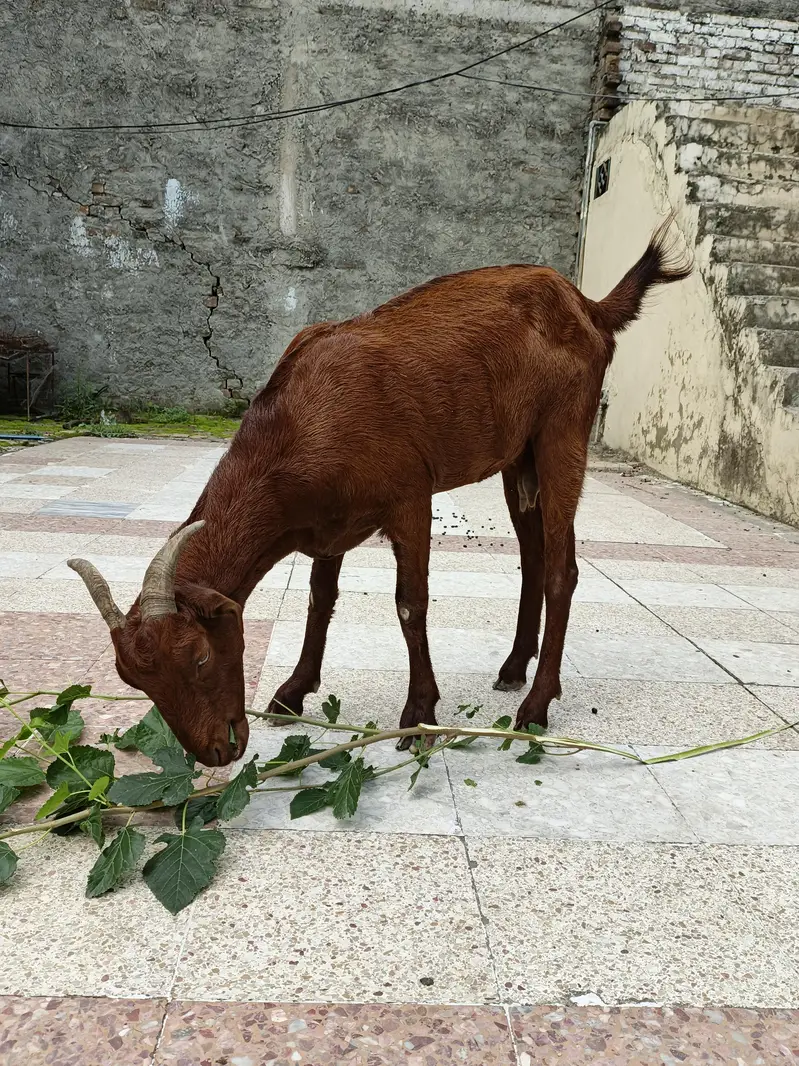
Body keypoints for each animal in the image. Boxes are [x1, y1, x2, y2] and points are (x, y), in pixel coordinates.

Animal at [69, 219, 691, 766]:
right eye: (133, 679)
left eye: (198, 658)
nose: (218, 751)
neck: (302, 421)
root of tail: (587, 306)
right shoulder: (327, 524)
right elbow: (319, 599)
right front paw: (291, 692)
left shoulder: (409, 496)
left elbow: (410, 604)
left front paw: (418, 716)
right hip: (520, 457)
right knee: (534, 557)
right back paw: (513, 669)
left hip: (563, 429)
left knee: (563, 569)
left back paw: (536, 707)